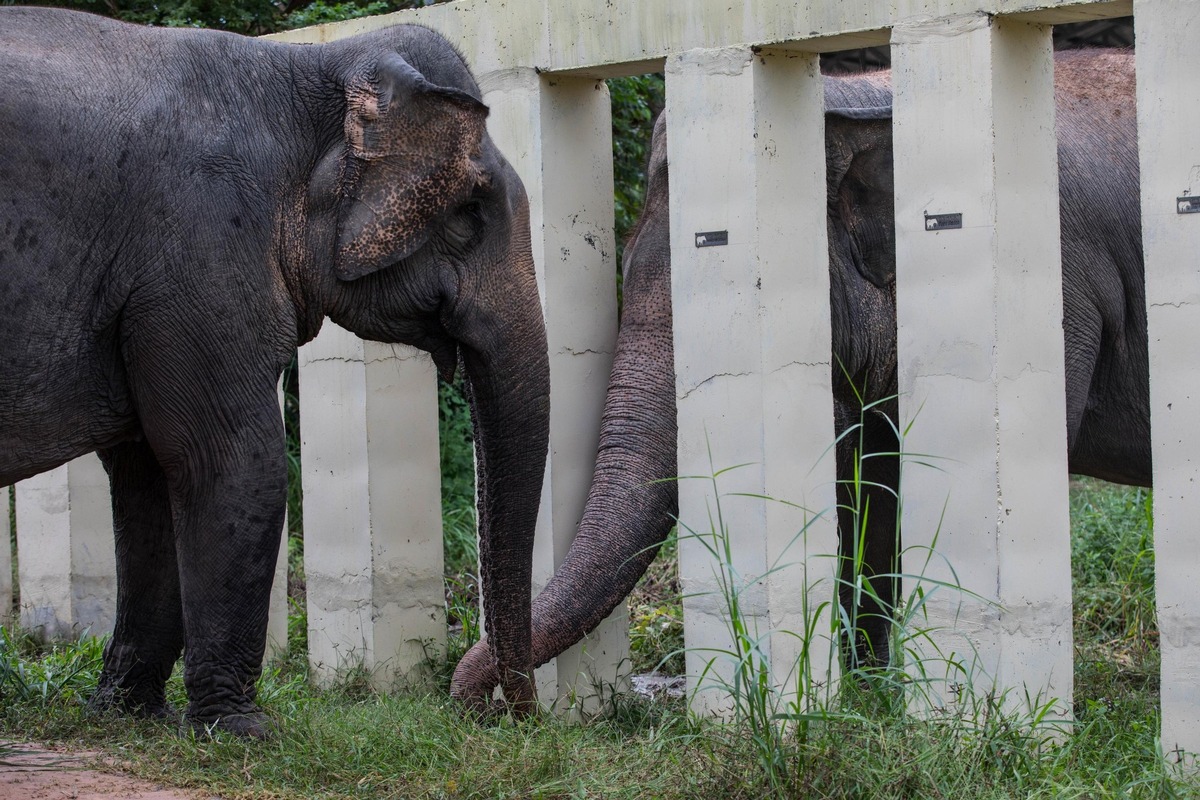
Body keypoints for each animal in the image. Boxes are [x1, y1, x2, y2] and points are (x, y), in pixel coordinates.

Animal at [1, 7, 549, 738]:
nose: (518, 717)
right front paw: (241, 732)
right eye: (468, 215)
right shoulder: (201, 245)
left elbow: (148, 476)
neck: (306, 69)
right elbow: (234, 461)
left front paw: (130, 714)